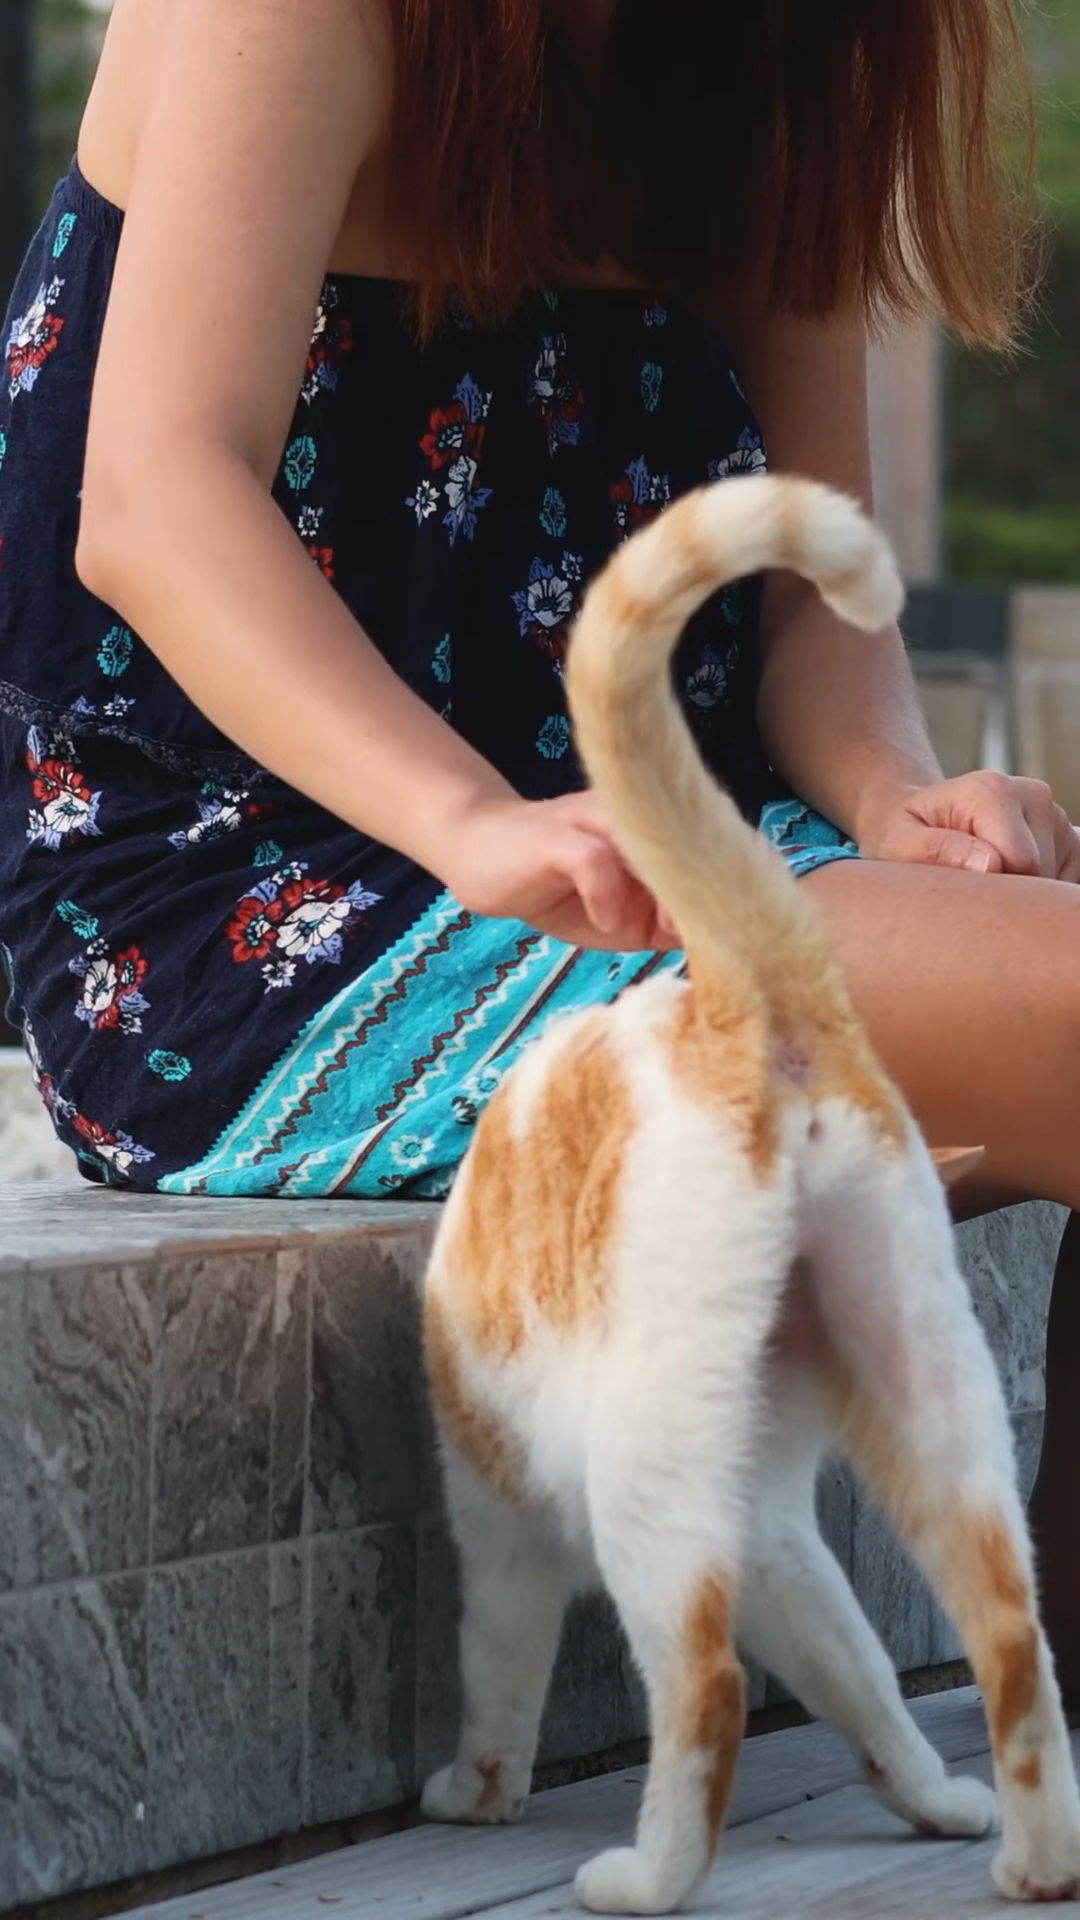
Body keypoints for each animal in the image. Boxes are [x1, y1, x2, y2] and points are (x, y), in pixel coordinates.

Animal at [420, 471, 1080, 1915]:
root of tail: (747, 999)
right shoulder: (776, 1530)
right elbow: (862, 1676)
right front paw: (924, 1798)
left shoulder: (501, 1516)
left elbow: (498, 1670)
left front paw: (476, 1793)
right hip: (936, 1408)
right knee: (1013, 1639)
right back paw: (1030, 1859)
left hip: (644, 1467)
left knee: (707, 1688)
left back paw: (645, 1877)